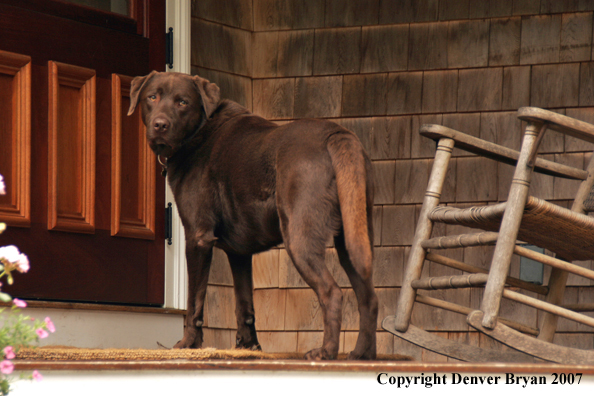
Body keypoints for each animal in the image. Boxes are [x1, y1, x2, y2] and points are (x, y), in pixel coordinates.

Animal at [127, 70, 376, 358]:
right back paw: (363, 354)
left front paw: (188, 344)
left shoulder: (198, 238)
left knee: (332, 293)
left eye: (182, 102)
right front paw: (248, 347)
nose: (160, 125)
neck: (199, 131)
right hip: (353, 237)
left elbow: (195, 301)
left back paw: (325, 353)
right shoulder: (239, 253)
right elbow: (244, 304)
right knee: (369, 298)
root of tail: (336, 134)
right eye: (152, 97)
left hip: (299, 237)